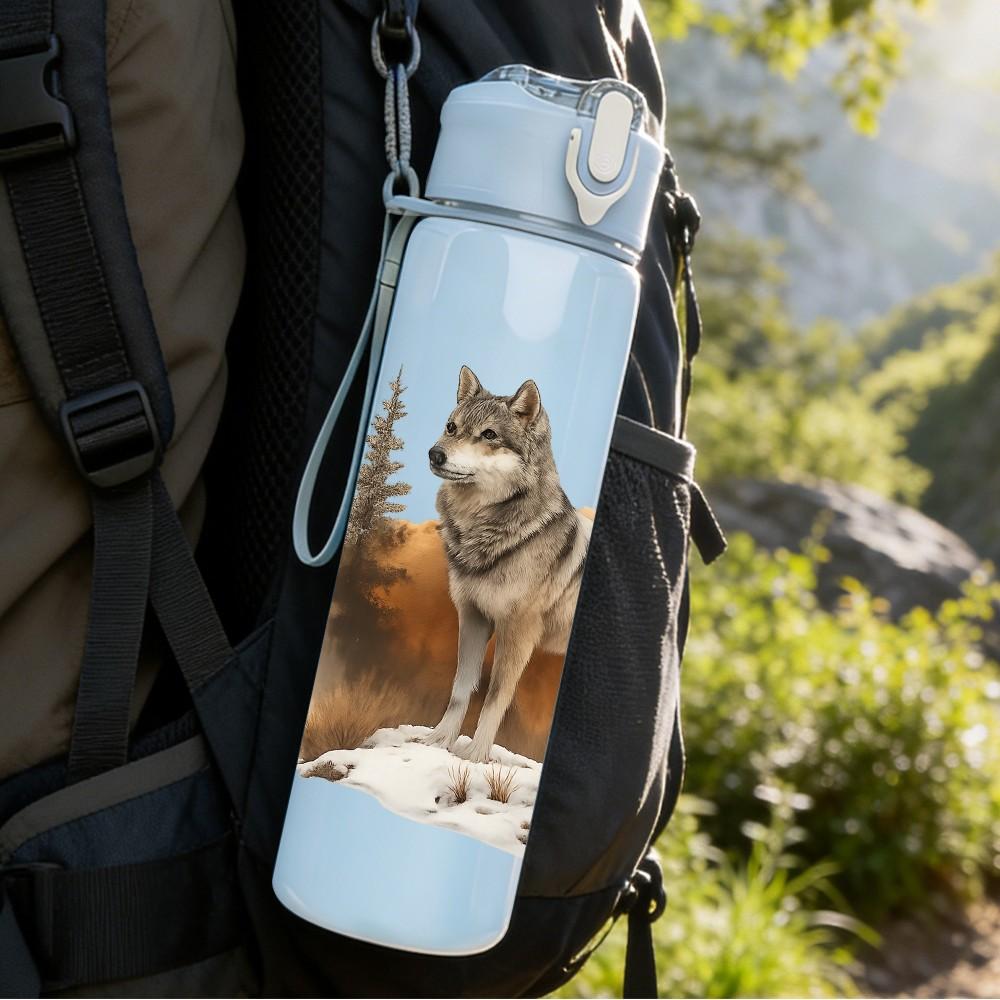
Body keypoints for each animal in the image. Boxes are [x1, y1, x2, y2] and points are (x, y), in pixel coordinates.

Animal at [424, 365, 591, 763]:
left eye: (489, 435)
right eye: (451, 427)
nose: (435, 454)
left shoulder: (518, 632)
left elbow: (495, 697)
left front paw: (474, 757)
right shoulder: (472, 616)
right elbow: (461, 688)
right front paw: (438, 742)